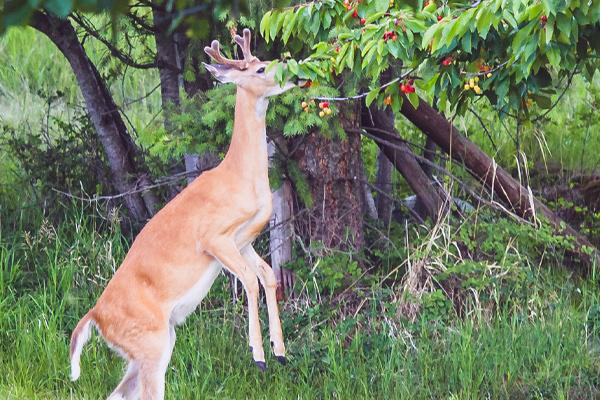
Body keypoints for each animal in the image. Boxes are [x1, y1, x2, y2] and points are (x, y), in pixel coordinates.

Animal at [68, 29, 300, 398]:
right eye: (261, 68)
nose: (293, 76)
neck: (240, 177)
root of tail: (95, 316)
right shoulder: (214, 238)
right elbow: (250, 280)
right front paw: (258, 354)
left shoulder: (244, 240)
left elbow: (268, 275)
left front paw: (279, 350)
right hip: (151, 342)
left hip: (148, 346)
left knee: (117, 392)